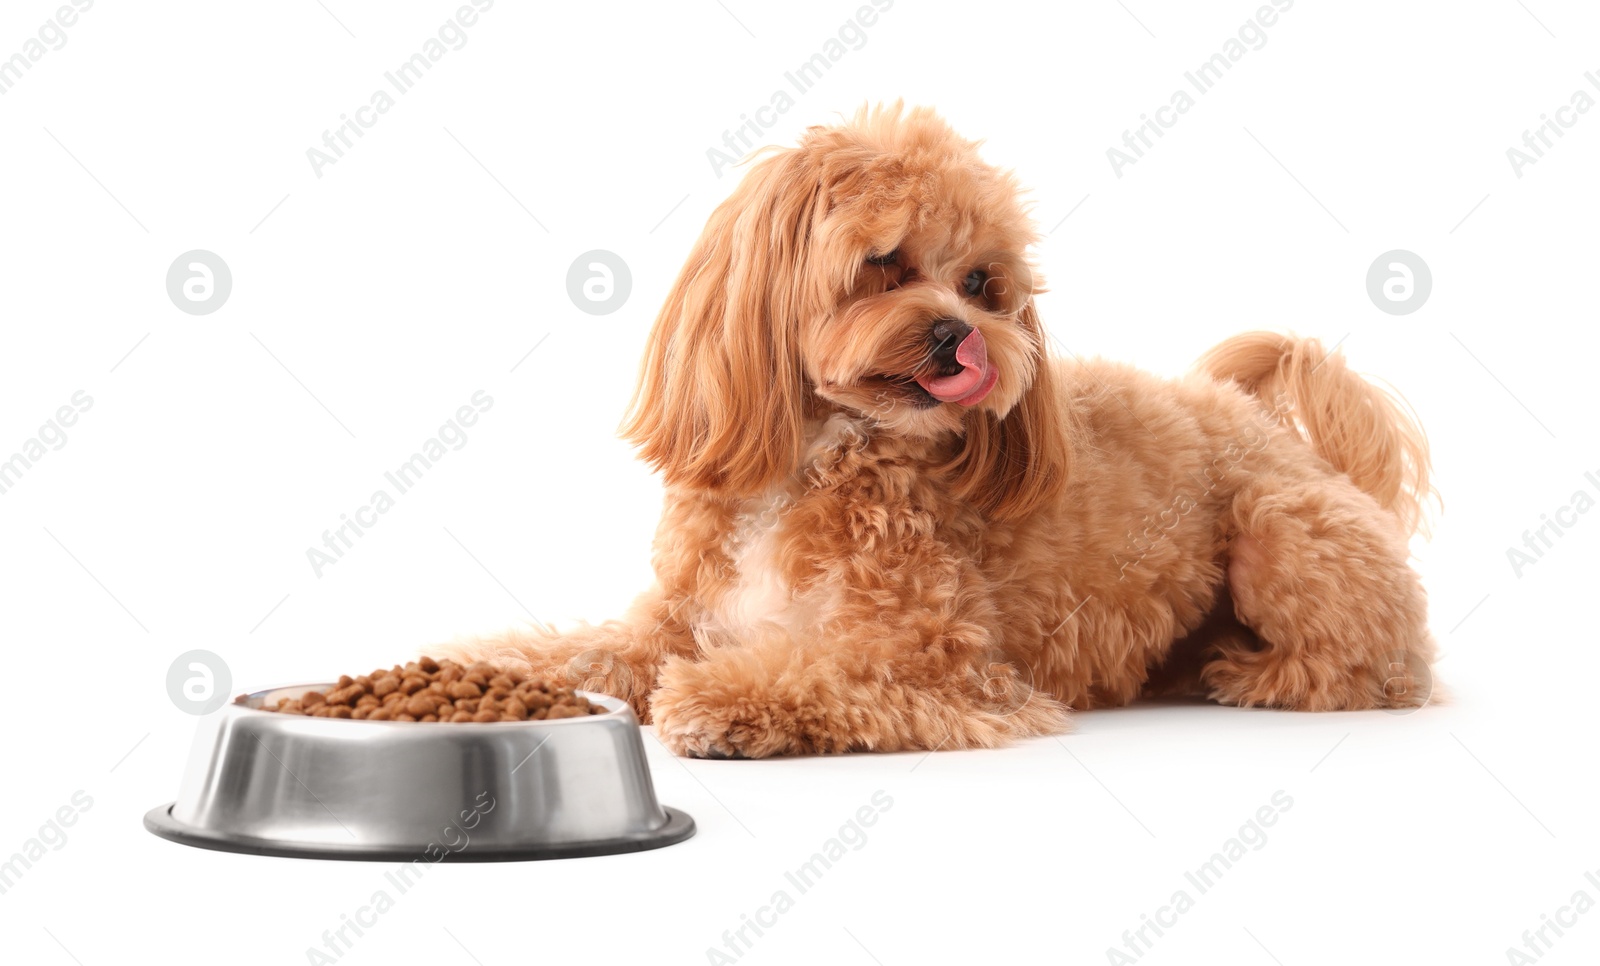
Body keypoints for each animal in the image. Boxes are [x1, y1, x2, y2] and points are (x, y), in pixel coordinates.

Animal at [441, 103, 1440, 754]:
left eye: (982, 283)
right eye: (884, 264)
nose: (962, 335)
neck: (816, 461)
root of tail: (1284, 437)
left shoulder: (932, 660)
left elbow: (817, 674)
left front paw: (719, 704)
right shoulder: (678, 619)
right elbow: (588, 647)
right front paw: (482, 664)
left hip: (1282, 529)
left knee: (1381, 672)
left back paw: (1251, 675)